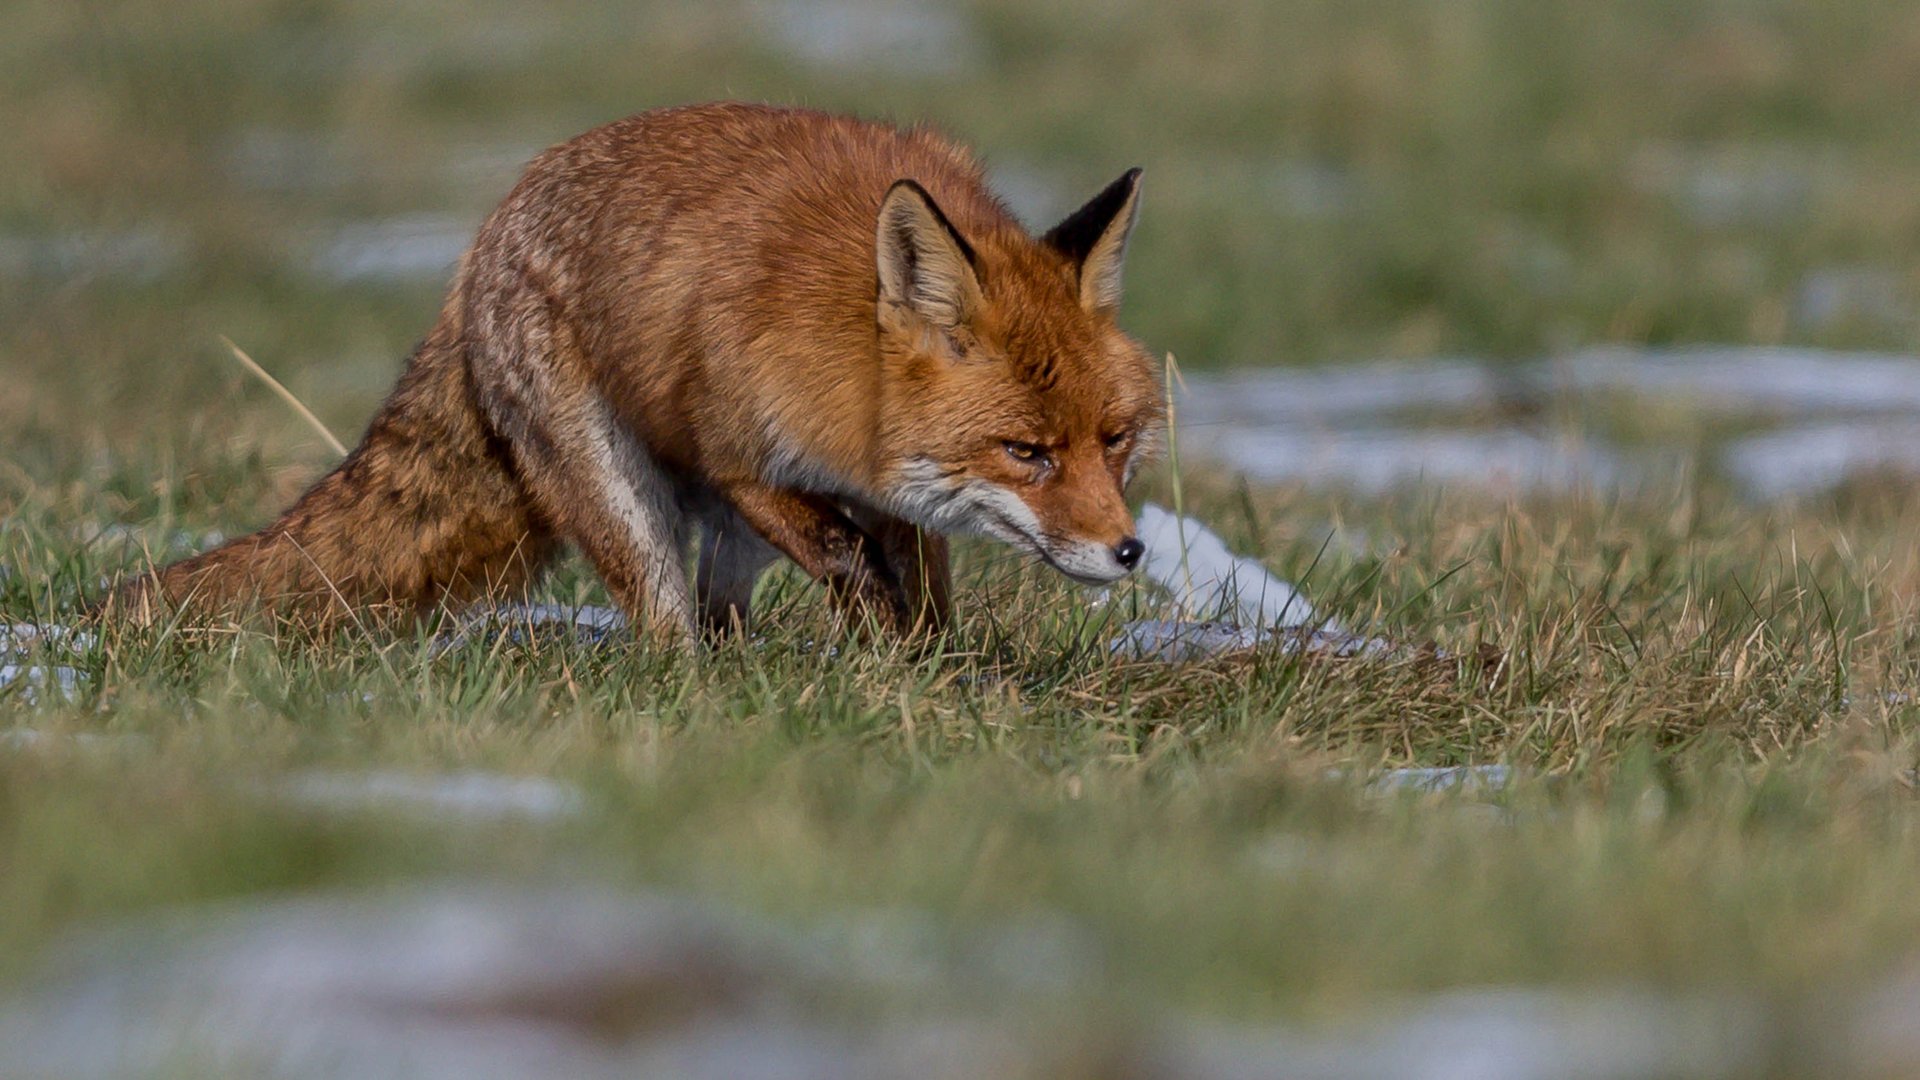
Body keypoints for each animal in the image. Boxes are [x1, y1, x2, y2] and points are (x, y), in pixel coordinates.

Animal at [120, 99, 1167, 634]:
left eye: (1115, 440)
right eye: (1025, 452)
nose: (1130, 551)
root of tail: (477, 252)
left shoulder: (889, 496)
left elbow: (922, 585)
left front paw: (931, 672)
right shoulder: (736, 456)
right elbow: (843, 552)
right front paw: (885, 630)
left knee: (720, 614)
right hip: (626, 498)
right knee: (670, 634)